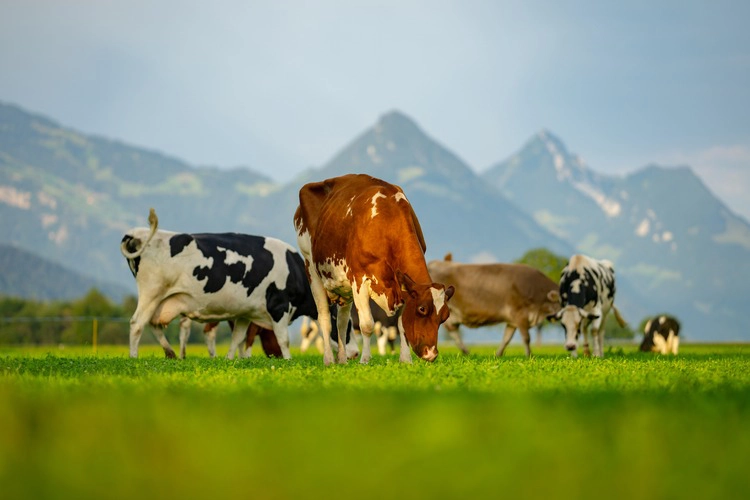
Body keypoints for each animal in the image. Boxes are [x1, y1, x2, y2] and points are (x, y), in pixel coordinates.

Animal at [119, 208, 318, 360]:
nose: (274, 356)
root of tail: (136, 233)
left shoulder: (246, 313)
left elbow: (238, 337)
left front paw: (231, 359)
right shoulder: (279, 306)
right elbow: (282, 339)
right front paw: (288, 360)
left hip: (162, 300)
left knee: (154, 324)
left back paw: (171, 353)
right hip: (152, 292)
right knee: (137, 323)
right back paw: (134, 357)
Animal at [296, 174, 456, 366]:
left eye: (445, 316)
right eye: (422, 309)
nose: (431, 354)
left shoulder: (401, 287)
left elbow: (401, 324)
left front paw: (405, 359)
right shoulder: (359, 280)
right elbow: (367, 325)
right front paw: (365, 359)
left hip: (343, 287)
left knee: (342, 322)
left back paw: (342, 359)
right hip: (312, 269)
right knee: (325, 319)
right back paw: (328, 359)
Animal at [426, 254, 560, 356]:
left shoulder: (512, 320)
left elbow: (506, 339)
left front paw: (498, 354)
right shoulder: (520, 314)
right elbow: (526, 338)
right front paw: (529, 355)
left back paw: (466, 352)